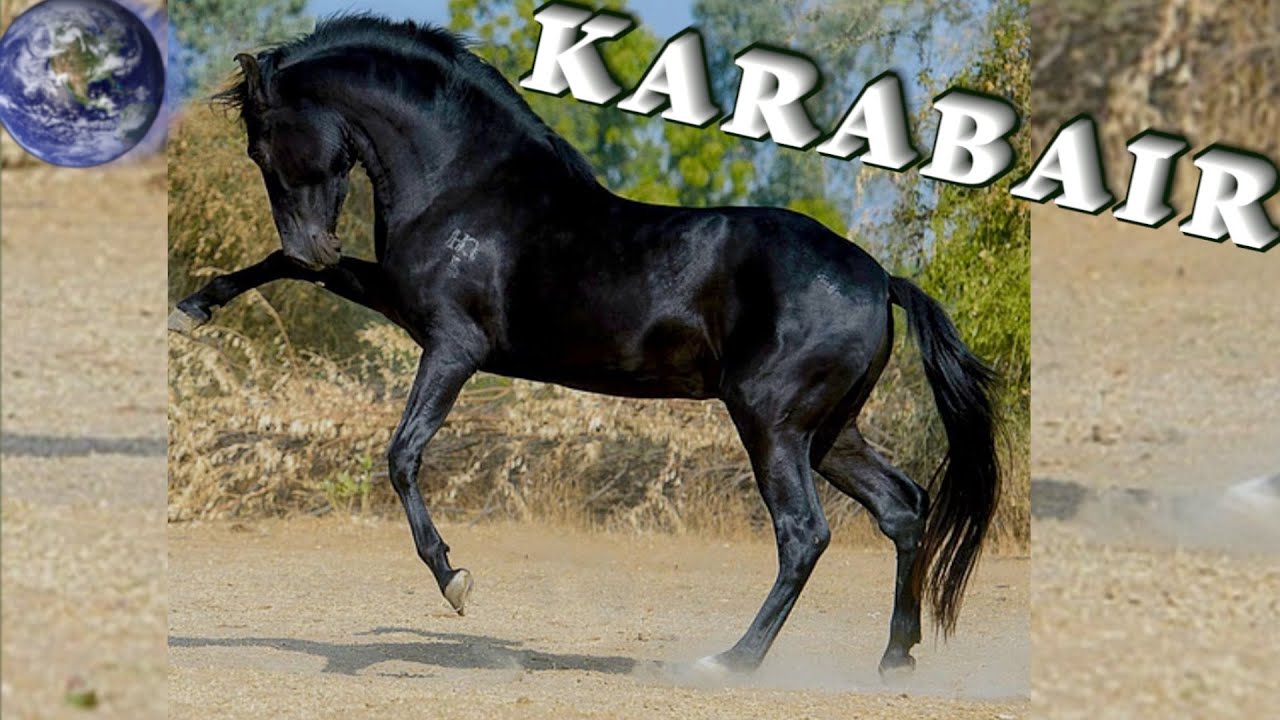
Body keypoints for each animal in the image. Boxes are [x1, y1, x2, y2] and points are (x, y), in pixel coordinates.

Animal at [169, 15, 1003, 677]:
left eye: (261, 144)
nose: (312, 241)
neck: (463, 182)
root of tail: (880, 277)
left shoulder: (453, 346)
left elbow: (403, 455)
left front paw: (455, 582)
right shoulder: (398, 303)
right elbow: (284, 271)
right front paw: (192, 309)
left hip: (771, 423)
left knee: (804, 534)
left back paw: (731, 661)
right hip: (829, 431)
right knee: (902, 509)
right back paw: (894, 660)